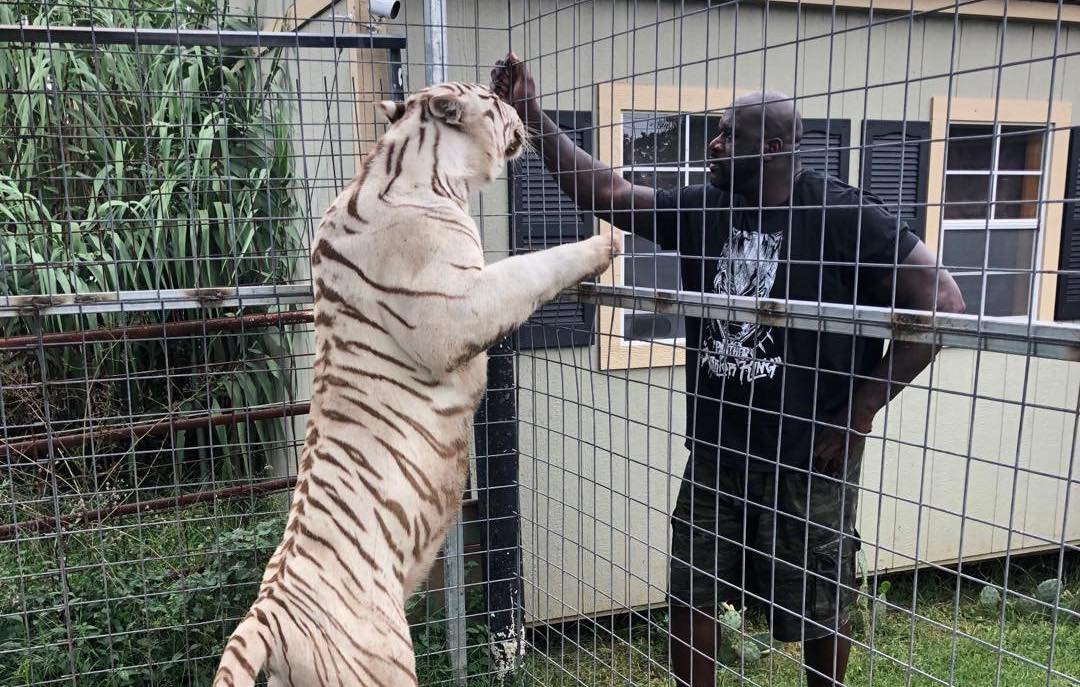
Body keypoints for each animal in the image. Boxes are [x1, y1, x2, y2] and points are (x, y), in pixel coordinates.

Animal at [208, 77, 626, 682]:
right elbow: (531, 267)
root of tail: (266, 618)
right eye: (496, 103)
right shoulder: (460, 310)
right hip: (385, 661)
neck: (418, 167)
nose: (519, 110)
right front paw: (605, 244)